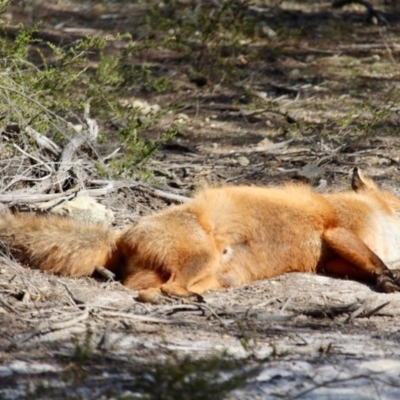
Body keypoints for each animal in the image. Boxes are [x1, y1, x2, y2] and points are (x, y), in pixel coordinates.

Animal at [0, 167, 400, 302]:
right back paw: (182, 300)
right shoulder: (338, 231)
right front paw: (388, 278)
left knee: (144, 289)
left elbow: (364, 264)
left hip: (211, 275)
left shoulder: (331, 260)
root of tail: (121, 235)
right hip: (201, 258)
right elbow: (374, 259)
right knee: (165, 288)